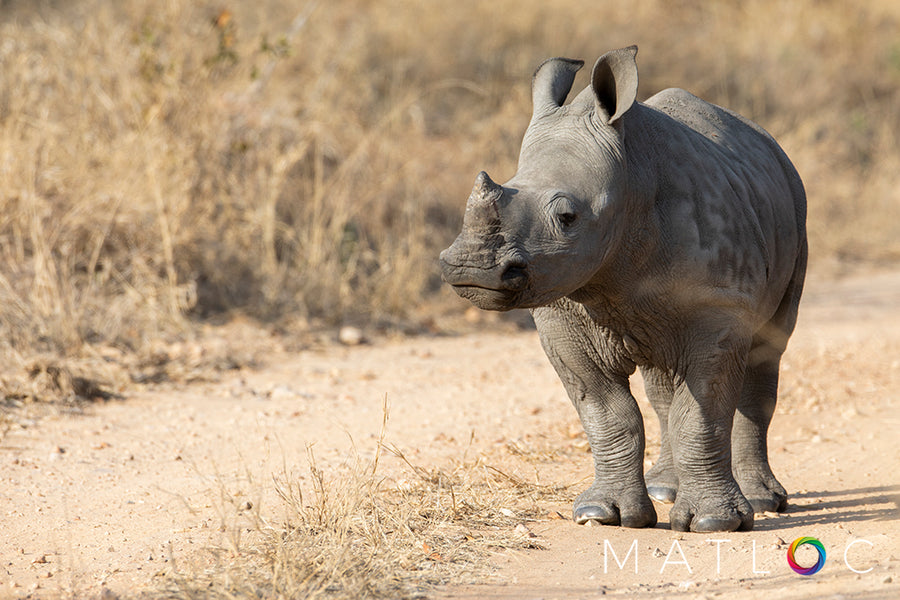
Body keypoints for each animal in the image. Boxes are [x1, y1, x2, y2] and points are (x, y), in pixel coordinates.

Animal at [442, 48, 808, 536]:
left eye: (567, 217)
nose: (471, 269)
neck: (630, 179)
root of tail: (771, 144)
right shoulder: (560, 313)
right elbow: (606, 410)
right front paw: (603, 515)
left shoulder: (720, 308)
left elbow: (703, 411)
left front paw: (713, 523)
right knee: (662, 382)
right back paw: (665, 489)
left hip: (796, 208)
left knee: (767, 352)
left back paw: (764, 500)